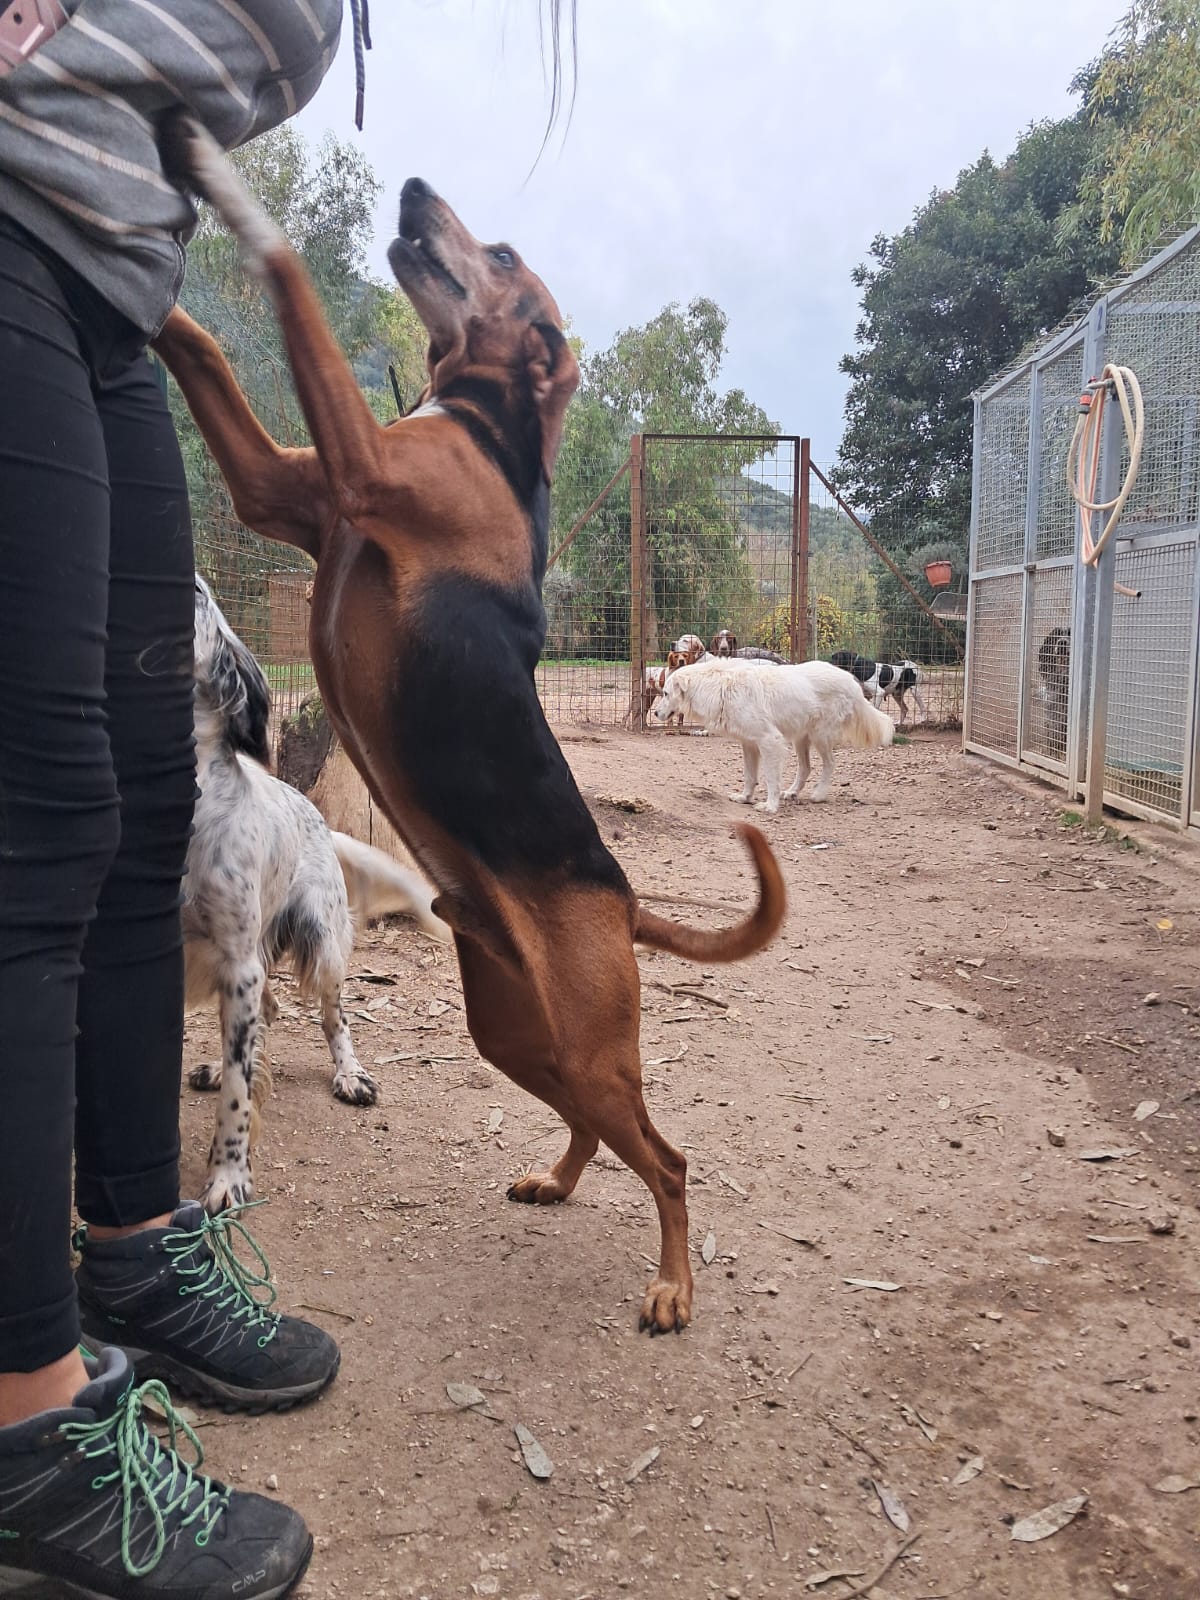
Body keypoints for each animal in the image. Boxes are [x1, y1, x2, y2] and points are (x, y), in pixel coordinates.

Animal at [186, 577, 449, 1211]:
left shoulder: (238, 966)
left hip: (322, 943)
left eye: (194, 593)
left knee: (334, 1019)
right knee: (266, 1018)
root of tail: (317, 814)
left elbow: (238, 1101)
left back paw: (349, 1075)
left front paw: (227, 1178)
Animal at [653, 658, 894, 812]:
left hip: (820, 736)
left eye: (665, 693)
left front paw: (770, 806)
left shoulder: (769, 741)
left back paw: (819, 794)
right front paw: (744, 798)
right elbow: (749, 776)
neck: (719, 687)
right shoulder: (749, 744)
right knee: (806, 768)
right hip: (800, 739)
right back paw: (792, 792)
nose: (655, 713)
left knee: (830, 764)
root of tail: (850, 680)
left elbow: (770, 778)